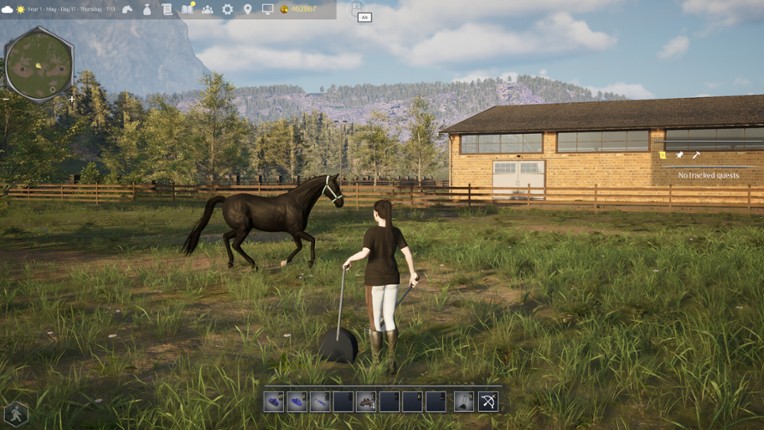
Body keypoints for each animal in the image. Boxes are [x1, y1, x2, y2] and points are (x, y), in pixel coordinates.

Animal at [182, 174, 344, 270]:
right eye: (335, 186)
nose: (341, 203)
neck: (297, 202)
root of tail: (226, 200)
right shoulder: (296, 231)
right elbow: (312, 240)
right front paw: (309, 262)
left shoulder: (294, 232)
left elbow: (299, 246)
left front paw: (285, 262)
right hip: (243, 229)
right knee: (235, 244)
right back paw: (253, 265)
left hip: (240, 229)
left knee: (225, 237)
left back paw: (231, 263)